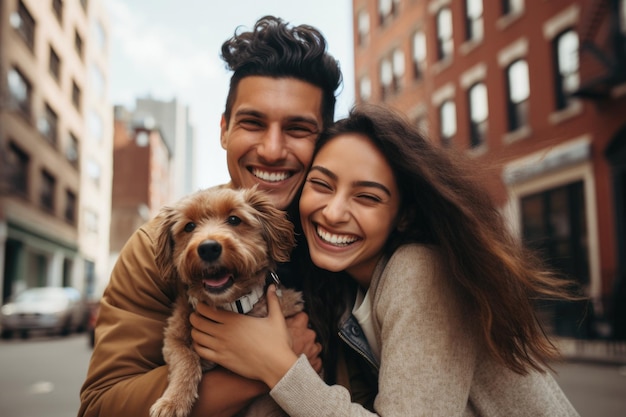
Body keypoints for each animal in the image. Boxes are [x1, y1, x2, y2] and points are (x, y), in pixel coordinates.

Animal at [147, 187, 302, 416]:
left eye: (234, 219)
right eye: (189, 226)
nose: (208, 248)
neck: (230, 305)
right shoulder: (173, 339)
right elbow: (186, 358)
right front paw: (173, 401)